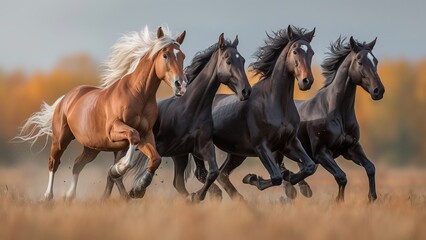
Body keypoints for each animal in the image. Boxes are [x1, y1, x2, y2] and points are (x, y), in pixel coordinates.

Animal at [16, 26, 187, 200]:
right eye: (165, 55)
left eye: (183, 56)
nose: (181, 85)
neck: (139, 94)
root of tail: (66, 98)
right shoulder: (114, 130)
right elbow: (133, 137)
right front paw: (119, 168)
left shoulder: (146, 135)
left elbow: (155, 158)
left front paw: (138, 188)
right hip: (61, 139)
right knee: (54, 162)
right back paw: (48, 196)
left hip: (92, 147)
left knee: (77, 164)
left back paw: (70, 195)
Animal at [104, 33, 253, 202]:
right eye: (228, 61)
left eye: (242, 60)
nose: (246, 91)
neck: (189, 110)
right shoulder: (161, 148)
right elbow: (152, 166)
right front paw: (137, 189)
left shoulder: (199, 148)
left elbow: (213, 172)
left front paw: (195, 197)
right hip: (125, 149)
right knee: (114, 175)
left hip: (180, 157)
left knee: (176, 182)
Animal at [173, 25, 316, 200]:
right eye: (295, 51)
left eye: (311, 52)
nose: (306, 81)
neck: (275, 102)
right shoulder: (261, 146)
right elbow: (276, 176)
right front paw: (252, 178)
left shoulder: (289, 143)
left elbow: (310, 167)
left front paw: (294, 181)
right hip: (201, 148)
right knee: (203, 173)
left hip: (237, 152)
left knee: (222, 174)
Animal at [274, 35, 384, 202]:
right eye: (360, 61)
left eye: (375, 61)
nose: (379, 91)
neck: (335, 112)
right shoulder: (322, 153)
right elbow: (341, 176)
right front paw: (339, 201)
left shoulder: (351, 148)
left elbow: (371, 168)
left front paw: (371, 198)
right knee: (280, 165)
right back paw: (292, 189)